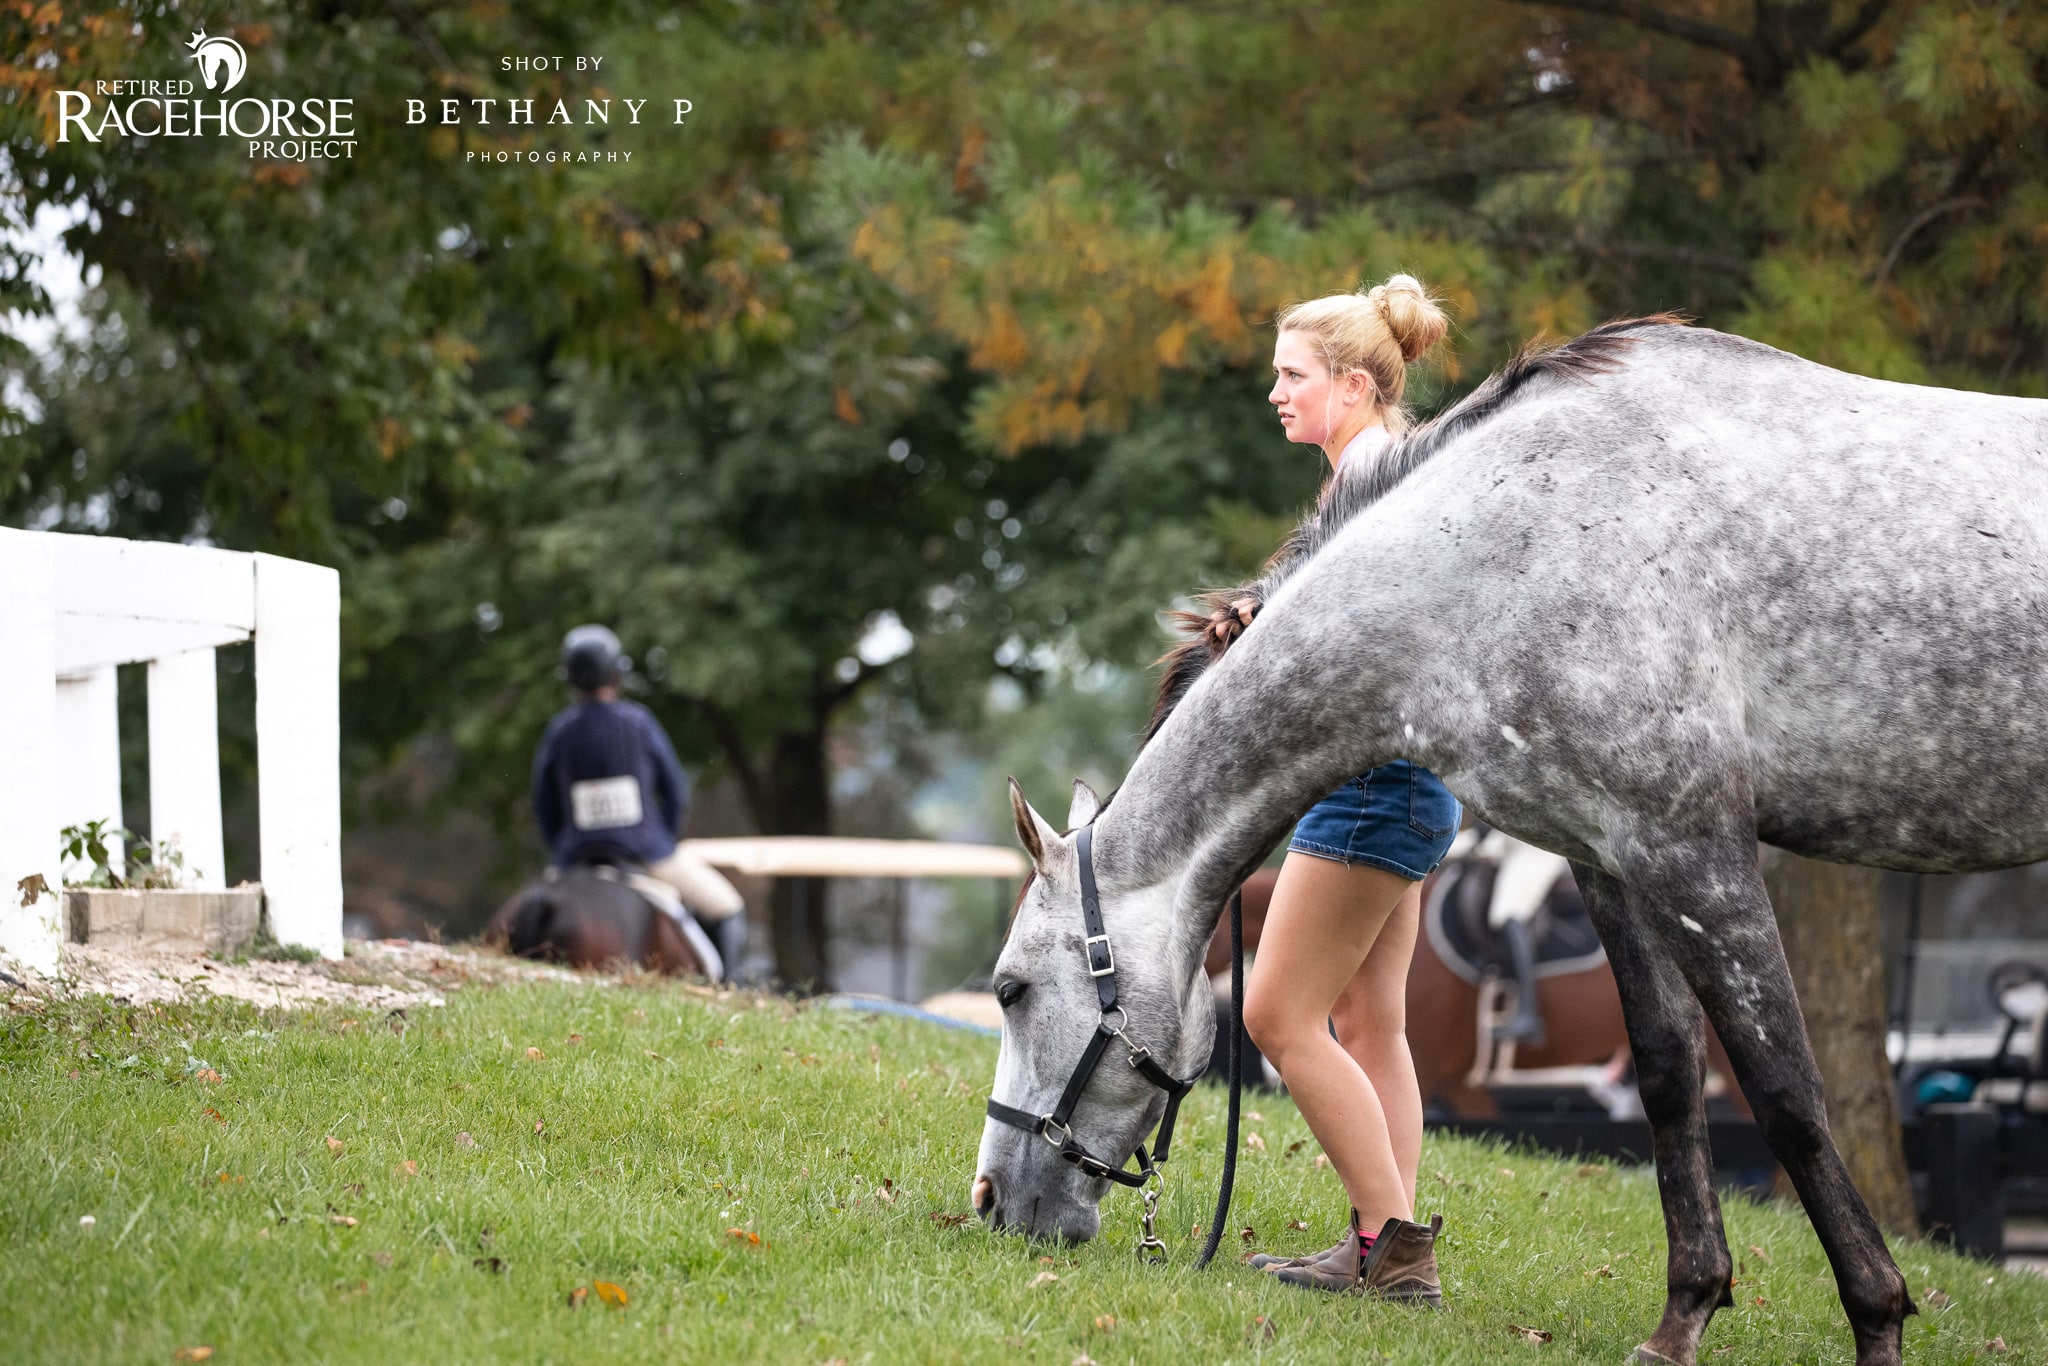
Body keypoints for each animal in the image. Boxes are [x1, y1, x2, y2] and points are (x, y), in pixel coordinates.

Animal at [970, 323, 2048, 1366]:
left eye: (1010, 989)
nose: (989, 1203)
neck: (1505, 552)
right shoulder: (1614, 859)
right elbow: (1667, 1078)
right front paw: (1683, 1317)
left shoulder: (1696, 852)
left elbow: (1785, 1092)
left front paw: (1877, 1317)